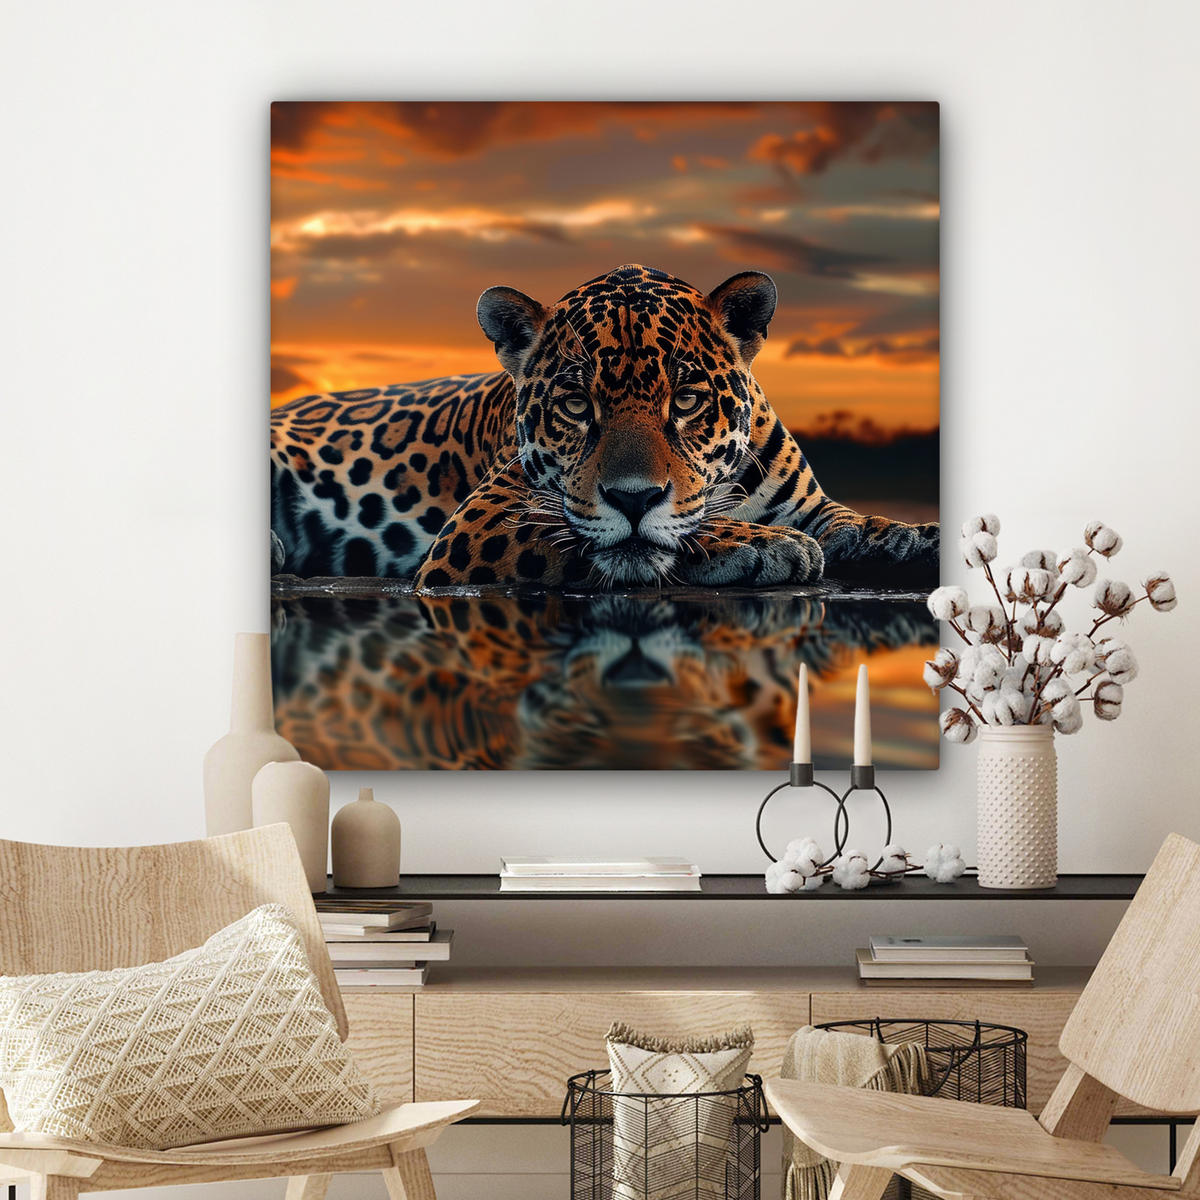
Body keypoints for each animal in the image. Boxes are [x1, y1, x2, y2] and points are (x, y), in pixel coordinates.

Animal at [271, 264, 938, 590]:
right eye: (575, 404)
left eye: (686, 399)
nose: (633, 499)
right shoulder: (480, 523)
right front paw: (766, 546)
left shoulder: (813, 507)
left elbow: (860, 523)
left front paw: (917, 538)